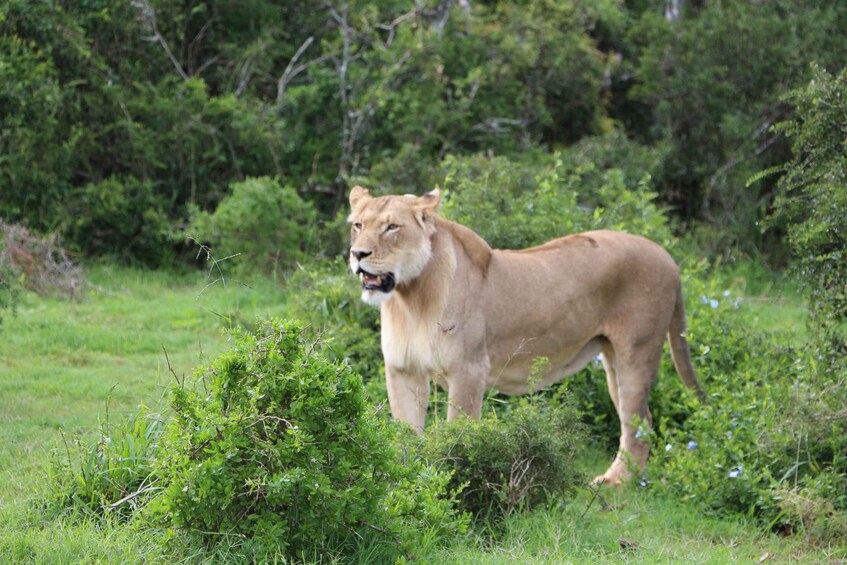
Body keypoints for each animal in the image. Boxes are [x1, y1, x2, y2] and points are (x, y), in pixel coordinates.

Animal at [347, 186, 706, 485]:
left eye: (392, 227)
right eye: (358, 225)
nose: (357, 254)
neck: (411, 298)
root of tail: (669, 258)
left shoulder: (469, 370)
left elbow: (459, 433)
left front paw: (455, 478)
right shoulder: (403, 370)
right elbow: (406, 434)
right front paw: (404, 481)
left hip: (637, 352)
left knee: (640, 424)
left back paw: (616, 484)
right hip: (613, 362)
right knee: (635, 421)